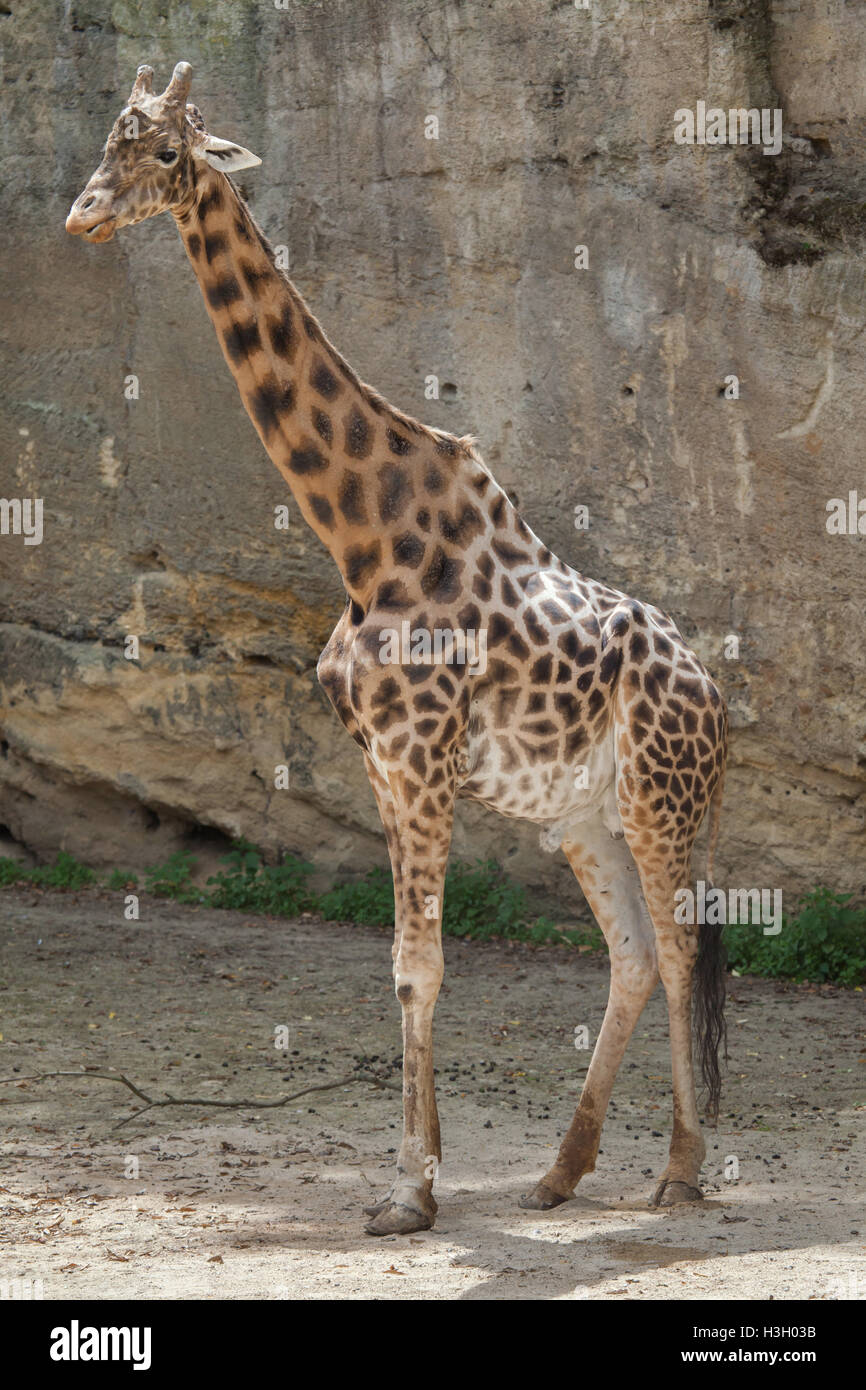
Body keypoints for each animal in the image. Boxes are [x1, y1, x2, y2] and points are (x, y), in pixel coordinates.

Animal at [66, 63, 728, 1237]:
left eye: (165, 154)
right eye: (113, 140)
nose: (83, 216)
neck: (362, 539)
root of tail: (721, 702)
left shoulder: (421, 760)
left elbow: (419, 964)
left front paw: (408, 1192)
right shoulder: (382, 763)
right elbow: (403, 964)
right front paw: (422, 1176)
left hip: (662, 800)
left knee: (684, 946)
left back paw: (680, 1172)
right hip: (581, 816)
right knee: (637, 956)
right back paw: (559, 1173)